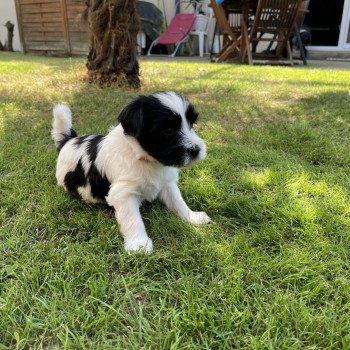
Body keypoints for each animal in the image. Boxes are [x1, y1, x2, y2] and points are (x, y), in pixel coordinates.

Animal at [51, 91, 211, 253]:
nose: (196, 150)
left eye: (192, 124)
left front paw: (192, 217)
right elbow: (133, 219)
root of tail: (68, 141)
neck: (144, 158)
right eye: (168, 130)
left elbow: (178, 202)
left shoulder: (167, 183)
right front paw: (139, 244)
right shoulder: (124, 193)